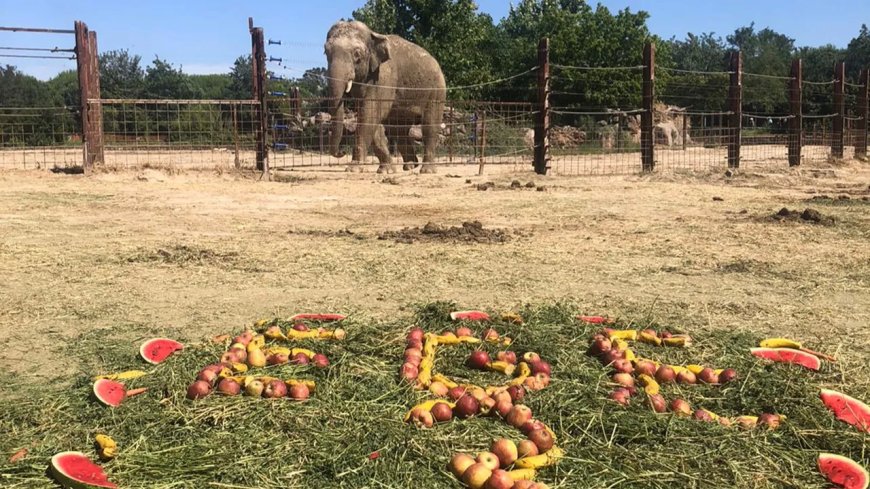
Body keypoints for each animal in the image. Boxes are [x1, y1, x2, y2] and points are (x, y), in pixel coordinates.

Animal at [328, 21, 450, 173]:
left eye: (357, 54)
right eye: (326, 52)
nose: (342, 152)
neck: (373, 34)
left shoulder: (385, 77)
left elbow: (370, 114)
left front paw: (353, 169)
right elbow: (371, 118)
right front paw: (386, 170)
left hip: (436, 90)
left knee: (429, 125)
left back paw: (426, 170)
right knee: (399, 130)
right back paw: (410, 166)